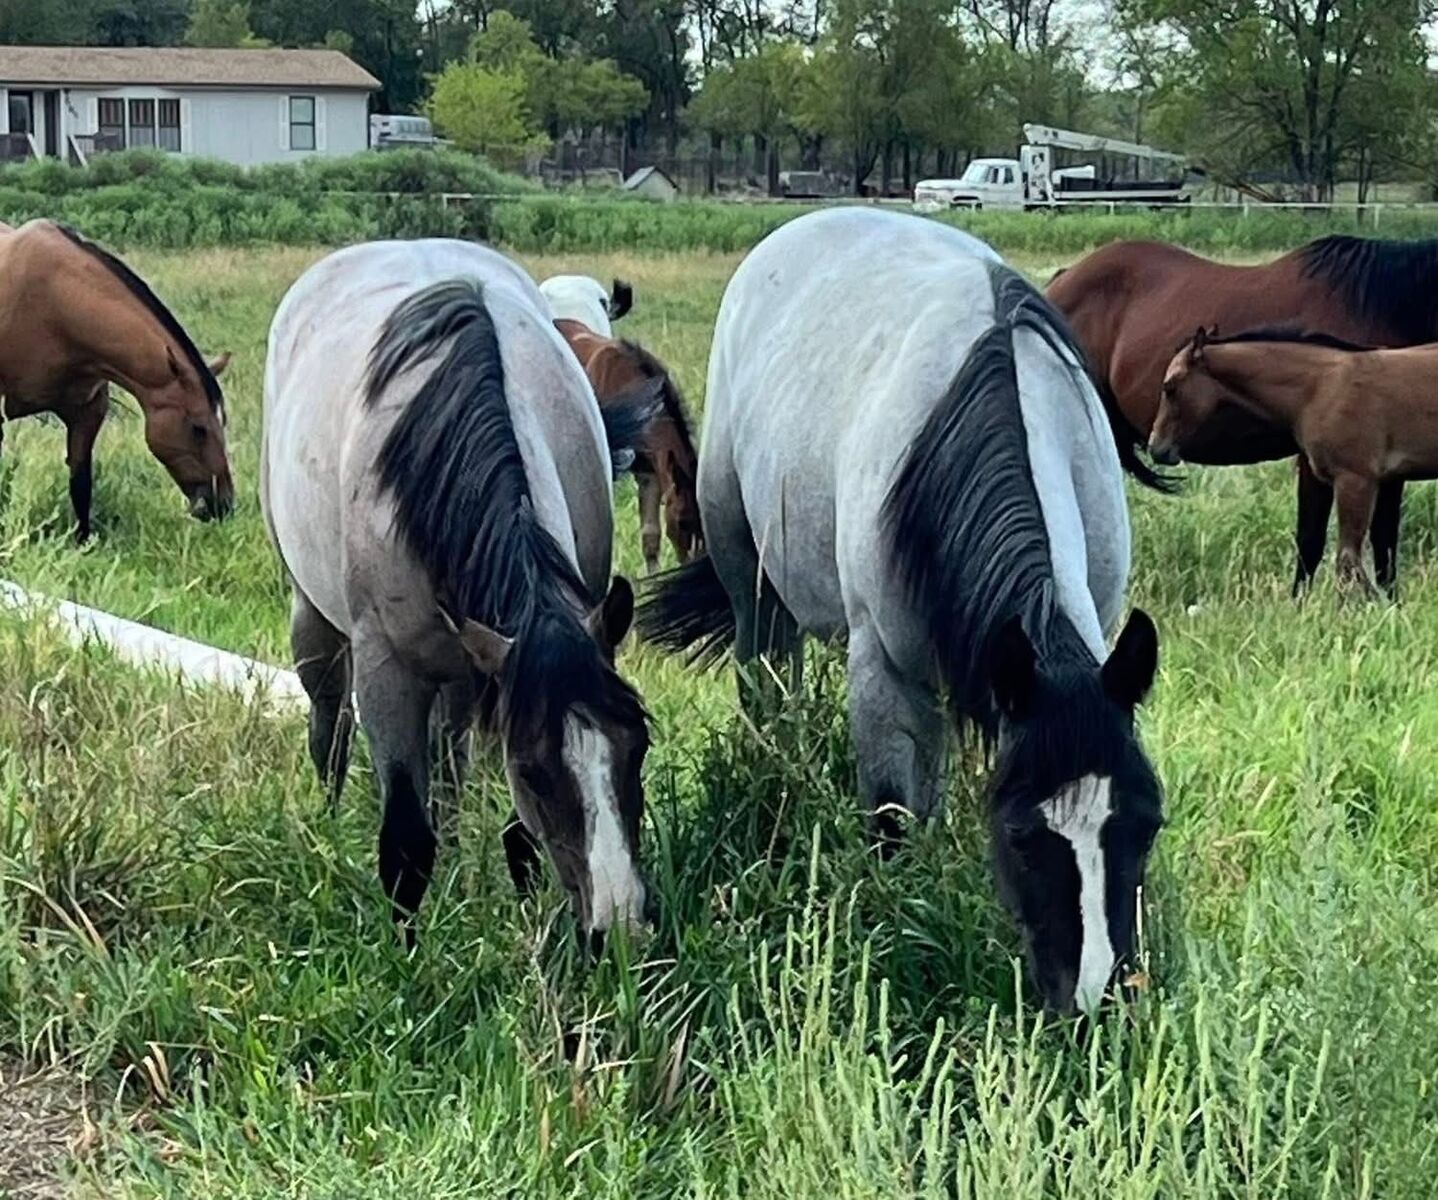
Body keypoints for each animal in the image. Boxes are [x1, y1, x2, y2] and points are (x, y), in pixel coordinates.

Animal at [262, 239, 656, 945]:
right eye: (533, 771)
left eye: (636, 747)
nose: (617, 929)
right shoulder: (388, 670)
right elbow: (405, 842)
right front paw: (406, 952)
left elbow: (511, 833)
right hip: (317, 620)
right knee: (330, 722)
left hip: (462, 668)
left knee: (447, 763)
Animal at [637, 208, 1164, 1014]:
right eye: (1021, 836)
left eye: (1147, 823)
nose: (1094, 999)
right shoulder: (882, 670)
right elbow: (891, 816)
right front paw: (899, 919)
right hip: (747, 574)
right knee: (768, 687)